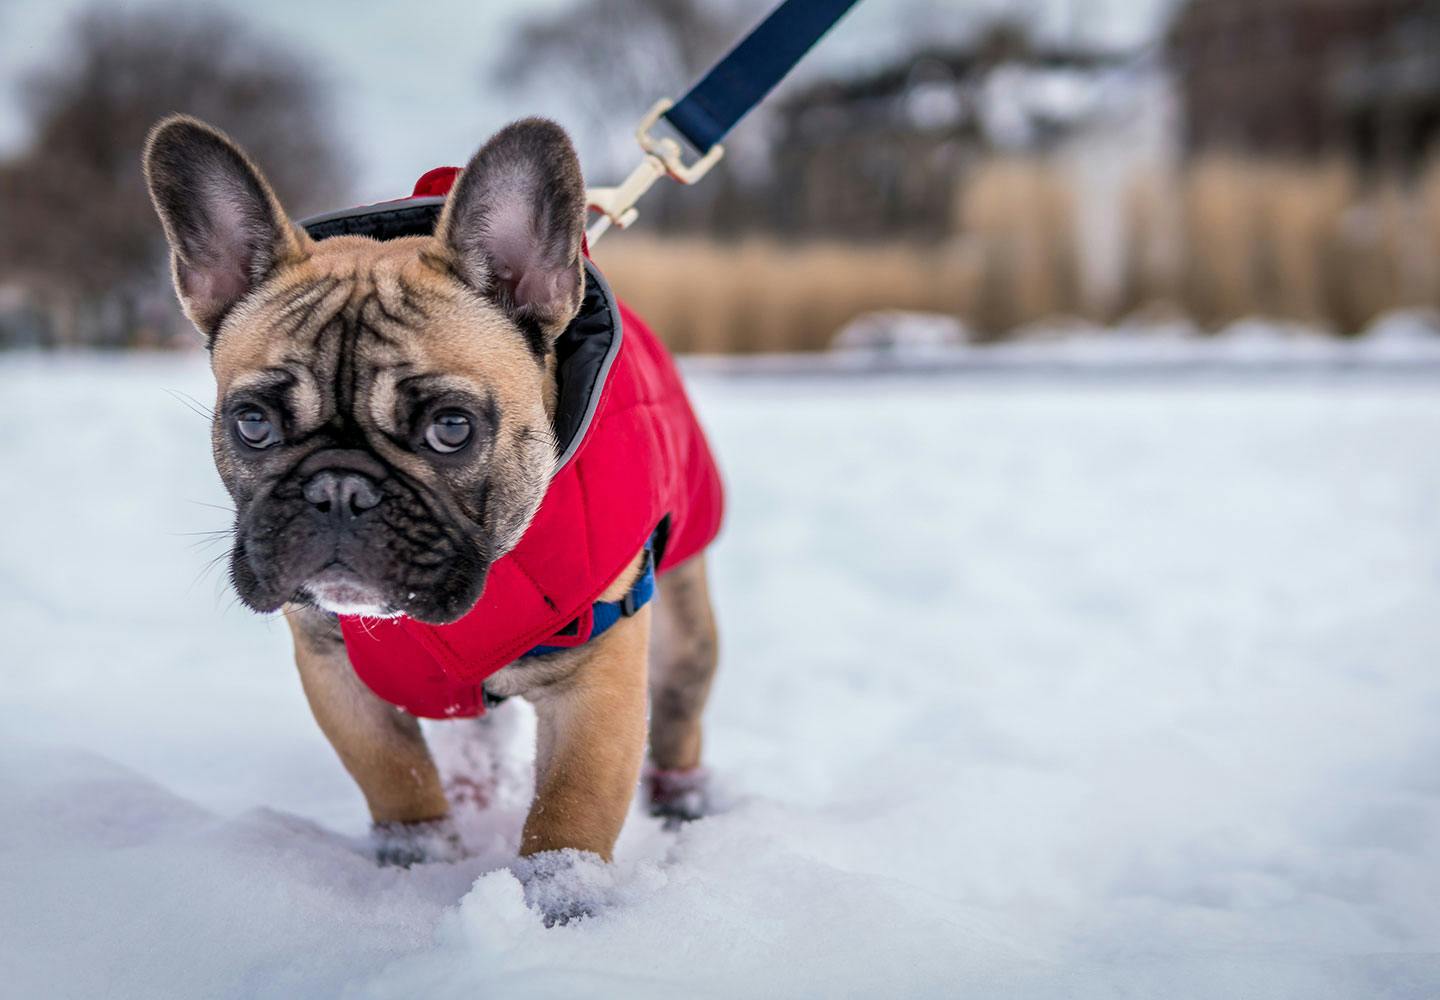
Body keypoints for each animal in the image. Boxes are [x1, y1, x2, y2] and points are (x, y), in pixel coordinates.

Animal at [146, 113, 720, 922]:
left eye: (451, 428)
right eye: (252, 423)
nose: (339, 490)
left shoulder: (598, 674)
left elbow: (573, 804)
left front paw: (561, 906)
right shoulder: (332, 667)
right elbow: (392, 771)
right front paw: (417, 860)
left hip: (683, 628)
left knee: (678, 705)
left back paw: (686, 802)